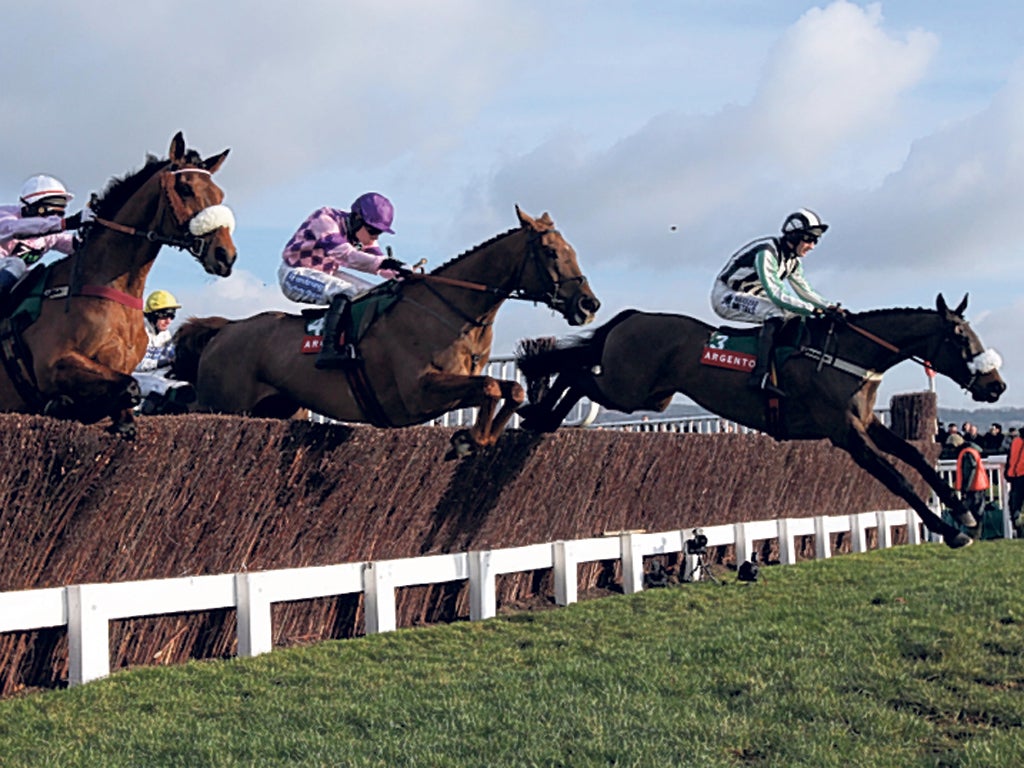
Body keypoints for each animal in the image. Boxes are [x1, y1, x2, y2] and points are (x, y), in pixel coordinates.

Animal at [0, 132, 235, 438]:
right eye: (185, 188)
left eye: (219, 195)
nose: (226, 255)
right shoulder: (52, 363)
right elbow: (129, 387)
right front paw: (62, 404)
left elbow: (126, 402)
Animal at [169, 205, 598, 456]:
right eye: (550, 252)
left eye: (574, 251)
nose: (588, 304)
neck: (450, 309)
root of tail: (225, 330)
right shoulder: (415, 393)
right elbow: (492, 387)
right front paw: (468, 439)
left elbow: (511, 389)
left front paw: (481, 437)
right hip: (223, 402)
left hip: (279, 409)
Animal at [520, 296, 1007, 552]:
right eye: (959, 337)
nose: (996, 386)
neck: (850, 356)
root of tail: (632, 316)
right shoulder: (844, 433)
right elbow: (896, 477)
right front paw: (950, 529)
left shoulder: (867, 422)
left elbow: (912, 456)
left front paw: (963, 511)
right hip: (627, 390)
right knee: (577, 375)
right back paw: (538, 413)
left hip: (651, 397)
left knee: (576, 370)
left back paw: (538, 413)